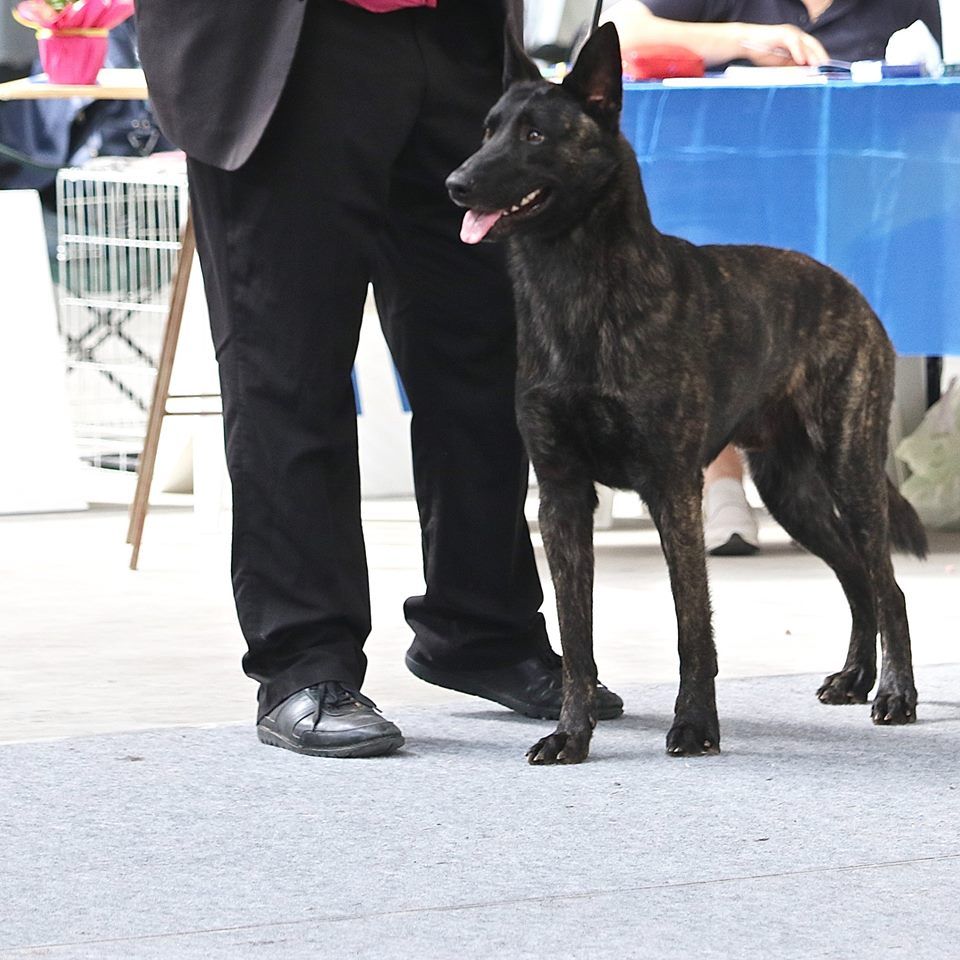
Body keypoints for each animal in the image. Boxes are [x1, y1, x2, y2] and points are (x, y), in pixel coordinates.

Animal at [446, 24, 928, 764]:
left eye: (534, 136)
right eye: (488, 130)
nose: (456, 184)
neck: (580, 291)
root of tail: (850, 290)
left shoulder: (672, 488)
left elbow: (691, 625)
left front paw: (696, 725)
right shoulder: (561, 497)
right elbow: (577, 639)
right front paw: (571, 733)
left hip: (850, 474)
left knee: (886, 584)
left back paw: (895, 694)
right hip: (791, 492)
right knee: (856, 579)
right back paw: (854, 677)